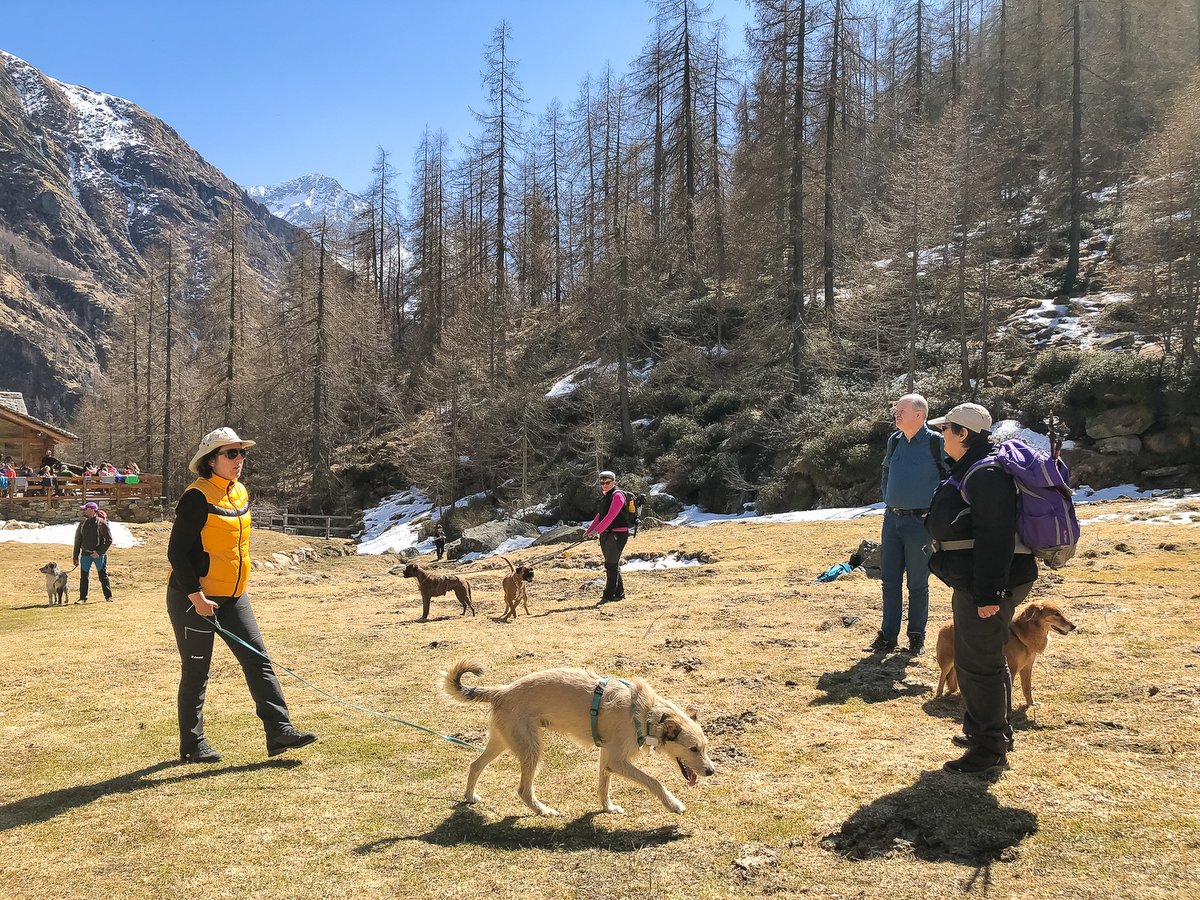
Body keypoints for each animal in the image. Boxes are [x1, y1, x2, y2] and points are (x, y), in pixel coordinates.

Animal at [936, 600, 1080, 710]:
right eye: (1056, 614)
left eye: (1061, 613)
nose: (1074, 626)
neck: (1020, 636)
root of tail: (945, 625)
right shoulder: (1011, 669)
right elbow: (1008, 690)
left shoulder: (1027, 667)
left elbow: (1027, 688)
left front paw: (1031, 704)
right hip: (947, 662)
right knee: (942, 677)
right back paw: (939, 694)